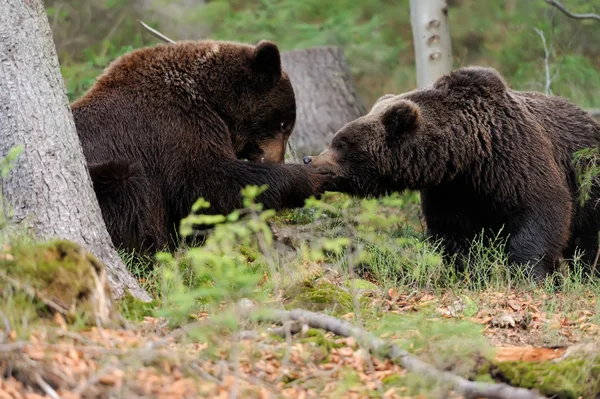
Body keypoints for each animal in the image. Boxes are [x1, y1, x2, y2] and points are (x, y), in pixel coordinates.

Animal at [72, 40, 326, 256]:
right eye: (283, 124)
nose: (277, 160)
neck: (213, 99)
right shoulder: (174, 127)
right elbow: (207, 182)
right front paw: (309, 177)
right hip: (107, 174)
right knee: (125, 186)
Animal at [304, 66, 600, 282]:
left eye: (341, 143)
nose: (309, 159)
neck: (468, 153)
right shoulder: (451, 189)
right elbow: (453, 234)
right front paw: (469, 272)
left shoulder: (513, 156)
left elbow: (541, 211)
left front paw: (527, 274)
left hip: (589, 180)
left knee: (589, 240)